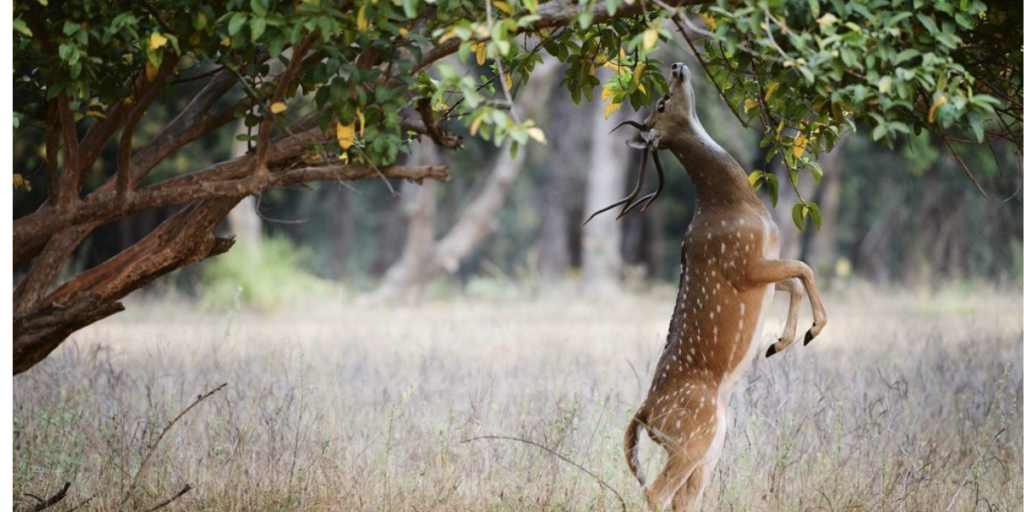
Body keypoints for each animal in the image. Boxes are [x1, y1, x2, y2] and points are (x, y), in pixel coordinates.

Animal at [593, 61, 831, 509]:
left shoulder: (763, 267)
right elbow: (804, 267)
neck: (735, 205)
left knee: (681, 498)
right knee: (655, 492)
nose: (676, 66)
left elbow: (793, 279)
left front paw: (779, 342)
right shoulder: (742, 262)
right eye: (661, 102)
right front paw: (810, 331)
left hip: (709, 446)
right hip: (692, 437)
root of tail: (644, 414)